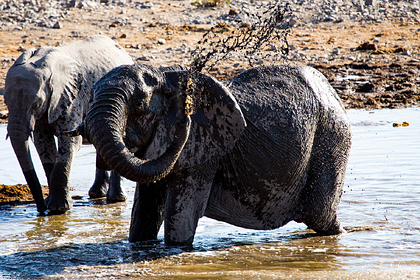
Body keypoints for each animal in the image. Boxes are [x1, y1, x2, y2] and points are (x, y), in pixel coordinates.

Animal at [3, 34, 134, 212]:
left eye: (36, 104)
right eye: (5, 102)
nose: (41, 210)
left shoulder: (72, 98)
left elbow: (69, 141)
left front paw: (59, 209)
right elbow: (43, 144)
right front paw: (51, 205)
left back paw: (116, 199)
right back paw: (96, 194)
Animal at [69, 64, 352, 247]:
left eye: (138, 104)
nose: (185, 120)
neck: (167, 78)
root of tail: (331, 89)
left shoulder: (203, 153)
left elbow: (179, 223)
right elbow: (143, 216)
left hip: (332, 136)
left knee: (319, 215)